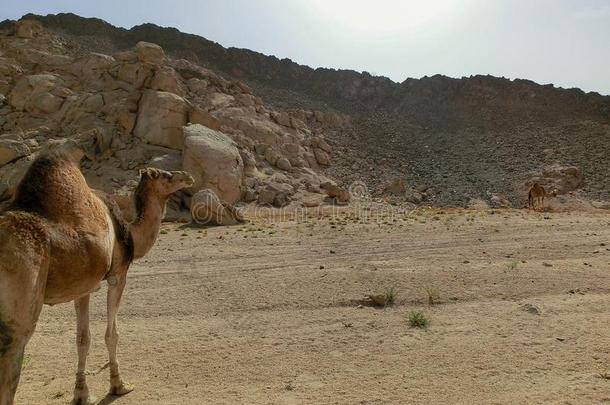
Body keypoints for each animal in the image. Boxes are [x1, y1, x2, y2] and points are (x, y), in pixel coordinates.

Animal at [0, 140, 192, 402]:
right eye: (167, 175)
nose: (188, 176)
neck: (131, 233)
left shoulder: (83, 288)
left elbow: (83, 339)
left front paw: (81, 394)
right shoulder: (118, 275)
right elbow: (112, 334)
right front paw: (119, 385)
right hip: (21, 303)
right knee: (12, 361)